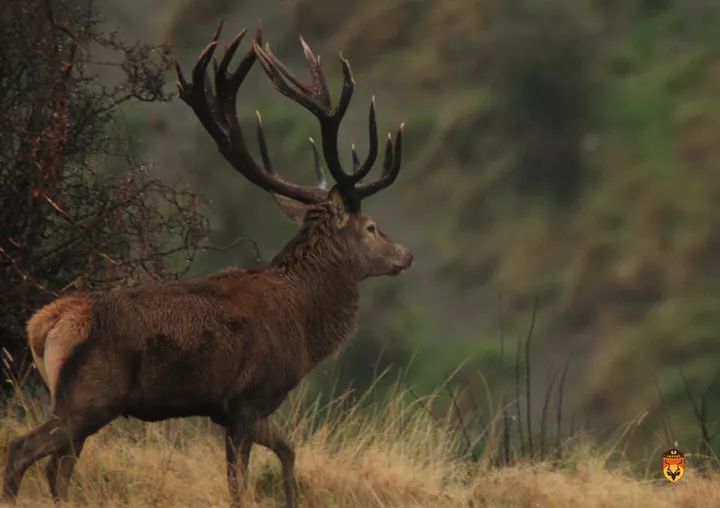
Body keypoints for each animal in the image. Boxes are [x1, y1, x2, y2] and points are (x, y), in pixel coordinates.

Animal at [0, 20, 410, 508]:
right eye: (372, 228)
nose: (405, 254)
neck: (304, 326)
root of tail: (41, 326)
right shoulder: (248, 399)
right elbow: (240, 484)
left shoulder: (232, 410)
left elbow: (289, 451)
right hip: (89, 398)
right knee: (22, 451)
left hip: (71, 402)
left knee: (56, 468)